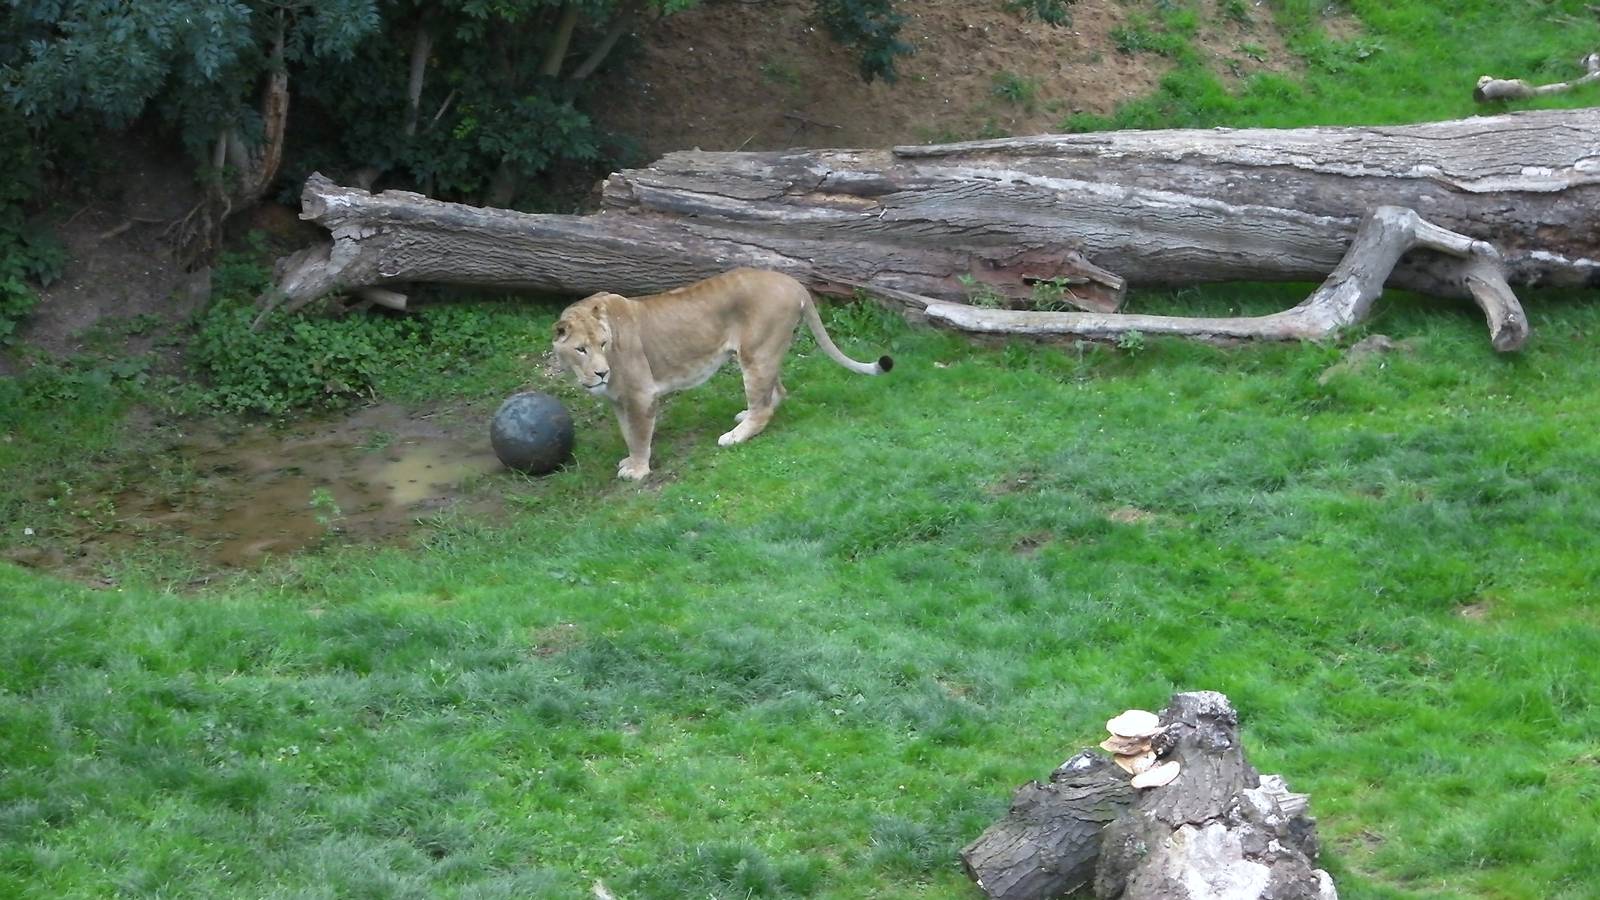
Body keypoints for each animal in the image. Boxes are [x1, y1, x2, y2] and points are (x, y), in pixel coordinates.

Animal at [552, 268, 893, 480]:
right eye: (581, 349)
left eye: (602, 344)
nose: (601, 373)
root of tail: (793, 282)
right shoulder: (620, 400)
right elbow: (627, 432)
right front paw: (631, 462)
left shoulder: (640, 394)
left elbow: (637, 434)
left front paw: (637, 470)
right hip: (764, 353)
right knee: (775, 395)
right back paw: (745, 417)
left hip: (756, 354)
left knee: (763, 408)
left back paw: (735, 436)